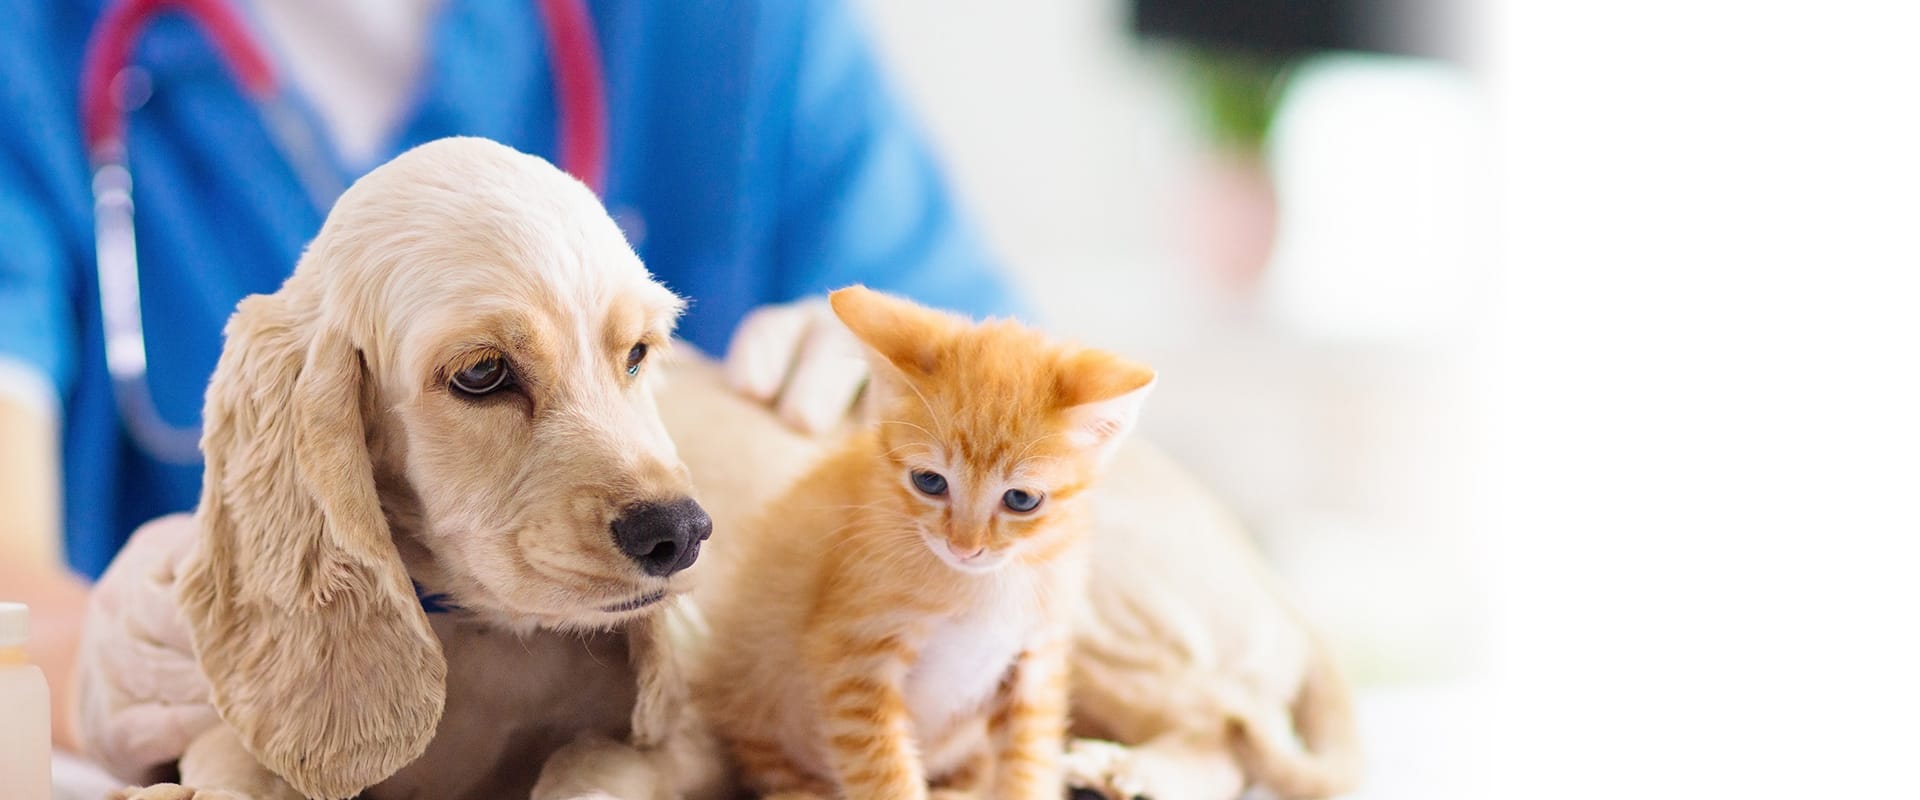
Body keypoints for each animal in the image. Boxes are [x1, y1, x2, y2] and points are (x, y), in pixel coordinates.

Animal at [120, 137, 721, 798]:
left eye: (637, 353)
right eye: (482, 373)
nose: (680, 534)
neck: (479, 631)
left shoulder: (688, 743)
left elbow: (595, 758)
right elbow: (231, 756)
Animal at [695, 283, 1152, 794]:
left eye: (1020, 499)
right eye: (929, 482)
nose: (964, 547)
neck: (984, 586)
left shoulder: (1036, 661)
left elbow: (1029, 761)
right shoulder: (854, 661)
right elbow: (884, 776)